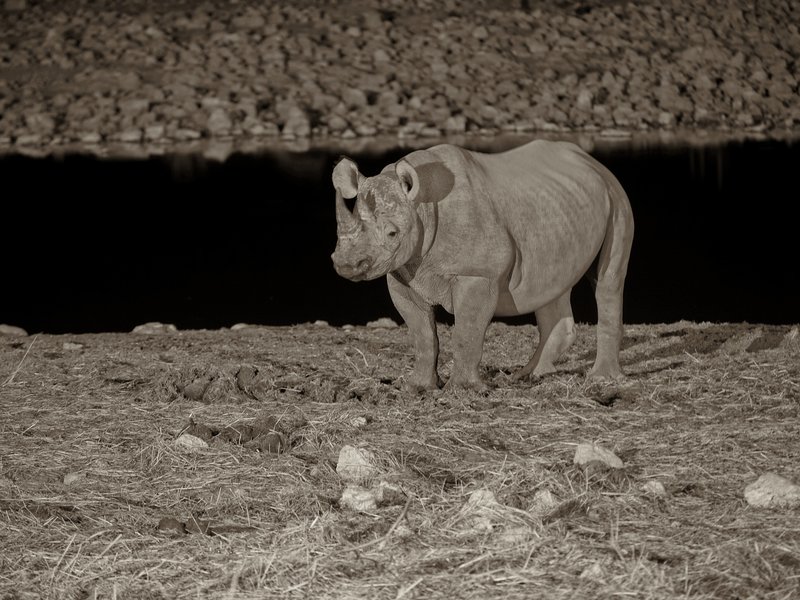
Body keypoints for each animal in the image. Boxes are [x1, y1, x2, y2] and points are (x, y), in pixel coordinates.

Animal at [331, 140, 634, 391]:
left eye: (392, 233)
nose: (346, 264)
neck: (422, 205)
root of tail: (592, 162)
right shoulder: (401, 274)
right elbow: (422, 335)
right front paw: (417, 388)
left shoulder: (477, 274)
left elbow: (466, 331)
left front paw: (462, 390)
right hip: (559, 204)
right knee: (551, 283)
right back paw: (528, 375)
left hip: (616, 197)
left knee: (609, 278)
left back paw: (601, 379)